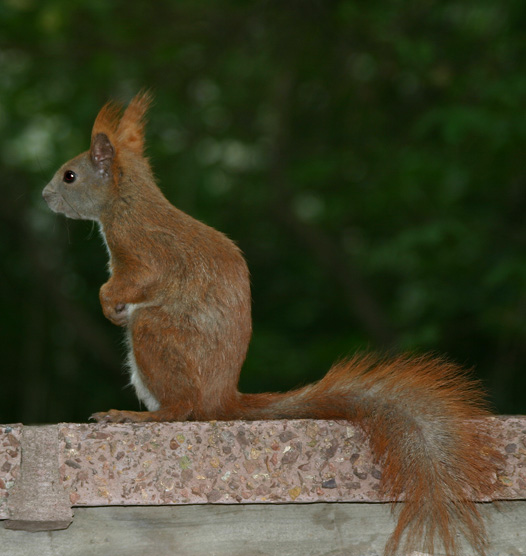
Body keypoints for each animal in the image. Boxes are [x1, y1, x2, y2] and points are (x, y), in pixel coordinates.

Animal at [43, 93, 502, 552]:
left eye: (70, 175)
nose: (45, 195)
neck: (126, 201)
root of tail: (222, 397)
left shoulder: (144, 250)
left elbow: (136, 280)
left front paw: (109, 303)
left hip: (155, 334)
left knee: (182, 408)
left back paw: (137, 416)